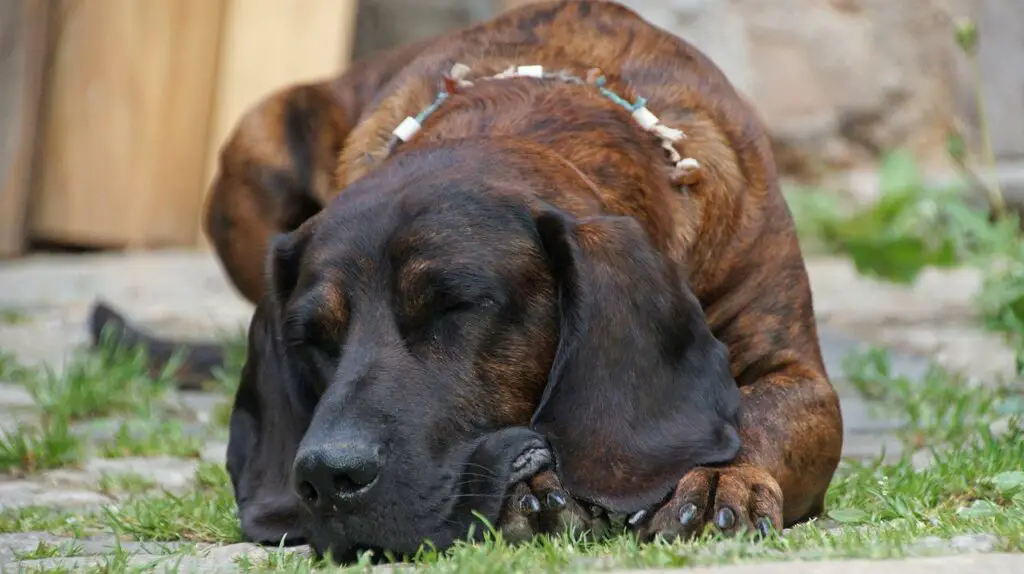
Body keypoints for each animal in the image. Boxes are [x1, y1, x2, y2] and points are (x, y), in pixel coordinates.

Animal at [90, 0, 839, 560]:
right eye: (311, 337)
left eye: (459, 307)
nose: (327, 476)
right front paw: (533, 493)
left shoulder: (797, 372)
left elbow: (765, 417)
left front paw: (718, 480)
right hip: (255, 145)